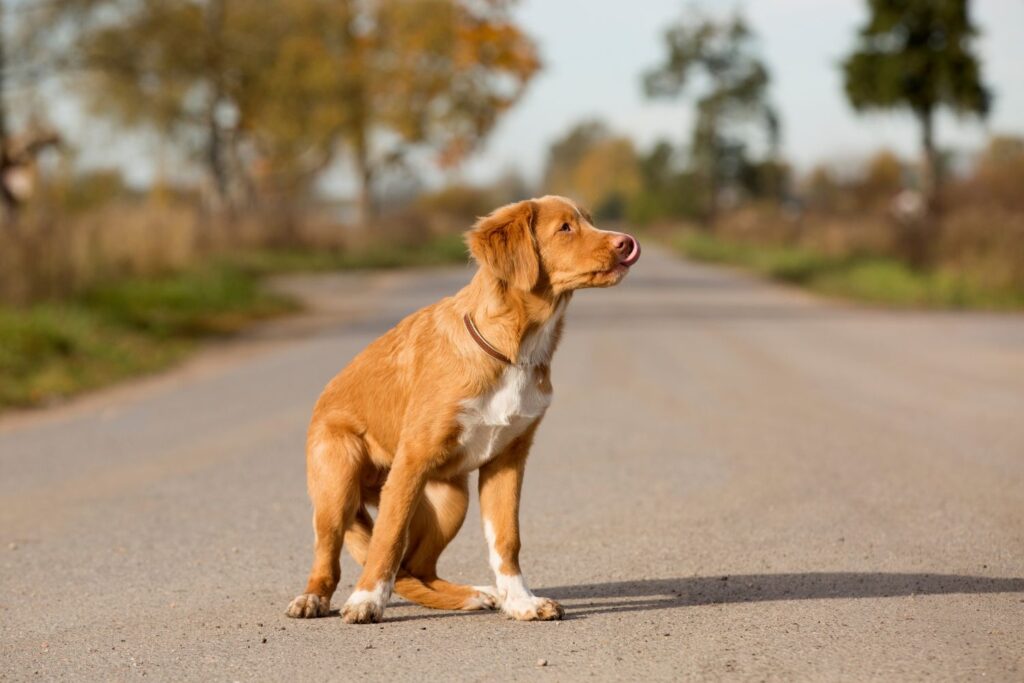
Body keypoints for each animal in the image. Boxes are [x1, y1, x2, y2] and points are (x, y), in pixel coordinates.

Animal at [288, 194, 638, 622]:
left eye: (589, 221)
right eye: (565, 228)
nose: (626, 242)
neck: (514, 350)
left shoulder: (507, 459)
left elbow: (507, 539)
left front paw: (521, 601)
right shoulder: (411, 462)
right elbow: (388, 538)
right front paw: (367, 599)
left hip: (450, 501)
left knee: (417, 568)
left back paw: (473, 595)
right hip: (339, 478)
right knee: (332, 553)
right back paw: (314, 598)